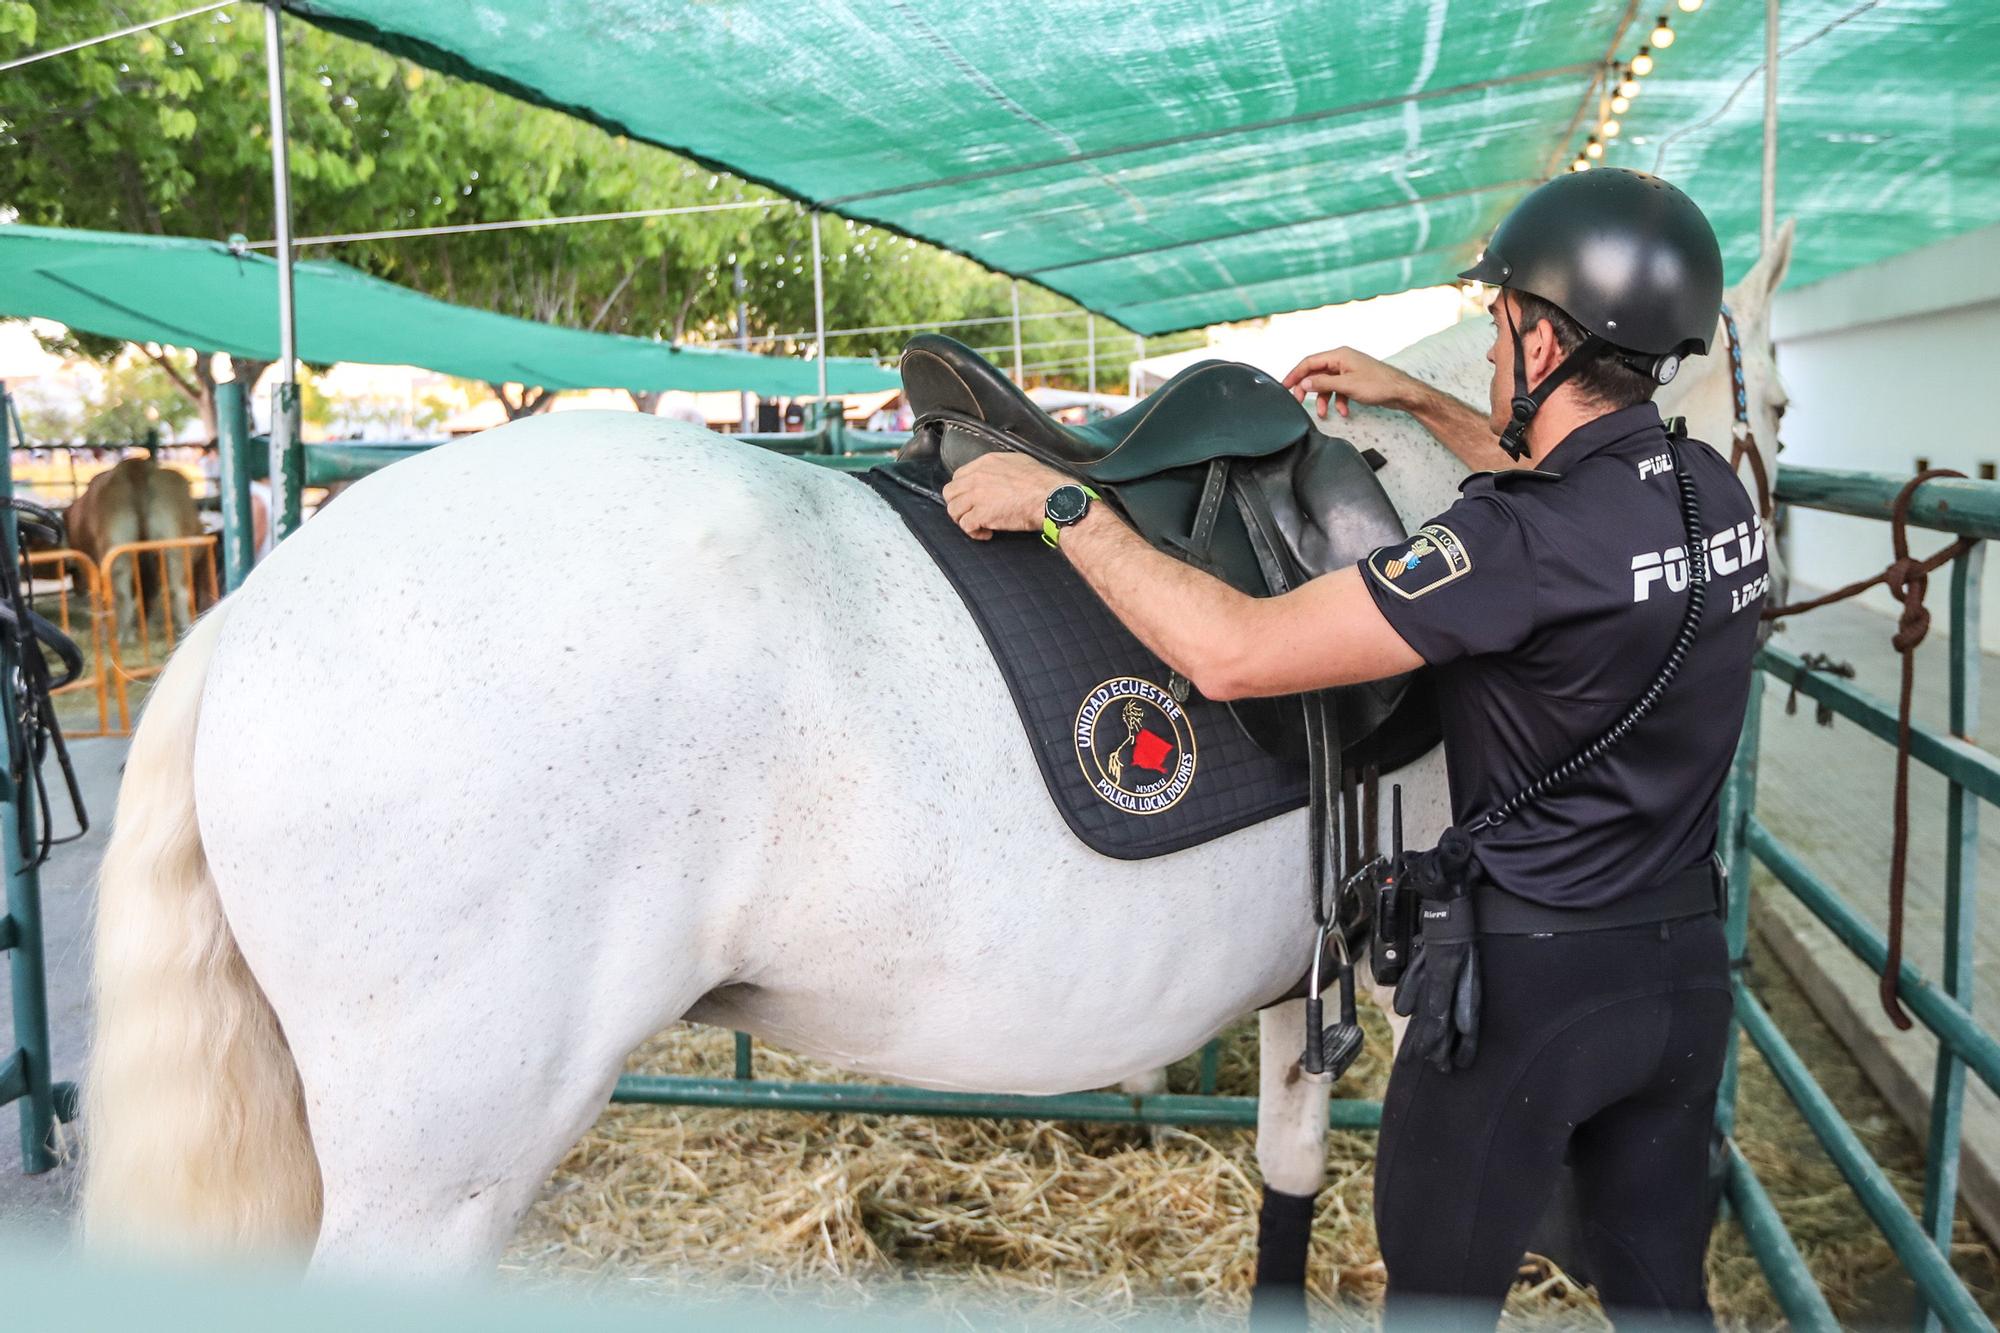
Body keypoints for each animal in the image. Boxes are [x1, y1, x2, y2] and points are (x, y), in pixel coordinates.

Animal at [82, 233, 1800, 1280]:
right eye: (1775, 390)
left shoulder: (1305, 988)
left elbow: (1289, 1179)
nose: (1766, 562)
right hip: (436, 1172)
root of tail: (254, 610)